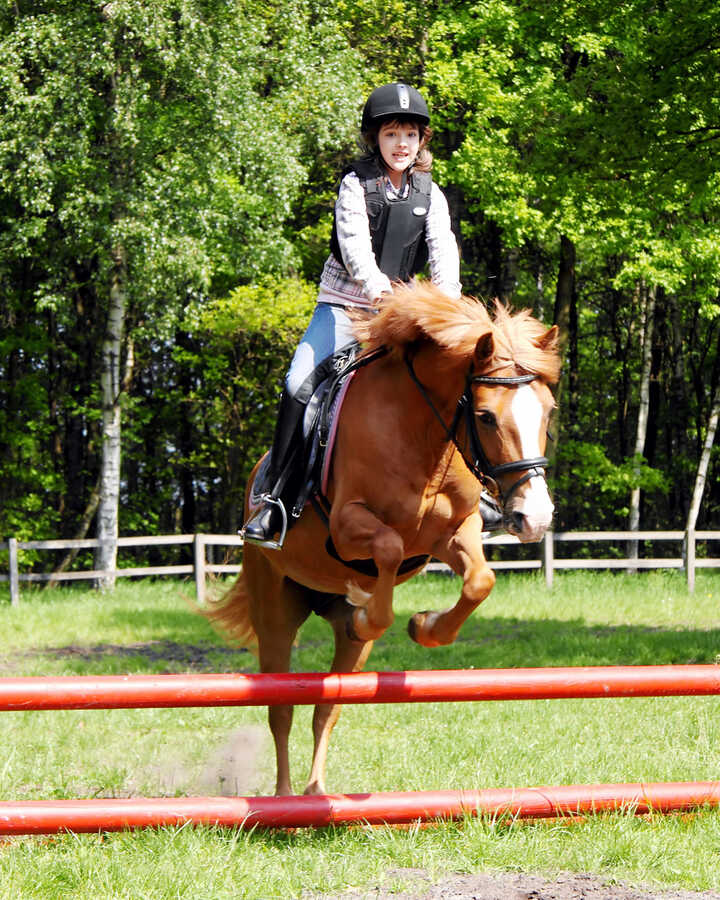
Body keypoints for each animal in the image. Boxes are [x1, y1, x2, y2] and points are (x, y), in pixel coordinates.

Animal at [204, 282, 561, 796]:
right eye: (486, 417)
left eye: (549, 412)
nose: (534, 517)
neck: (422, 434)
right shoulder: (346, 526)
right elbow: (389, 547)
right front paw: (370, 615)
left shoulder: (456, 531)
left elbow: (480, 581)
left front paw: (425, 626)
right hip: (275, 612)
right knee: (281, 707)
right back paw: (286, 798)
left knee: (327, 706)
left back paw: (316, 793)